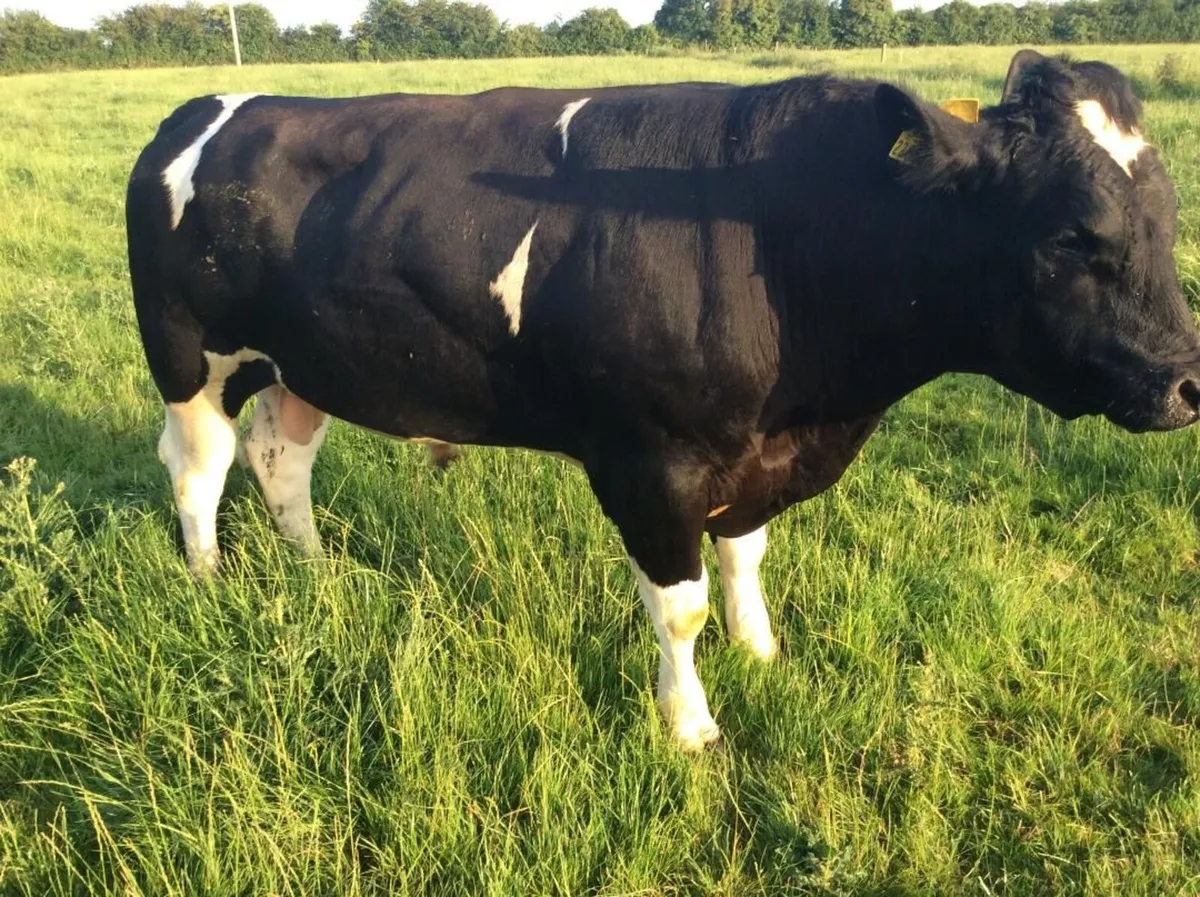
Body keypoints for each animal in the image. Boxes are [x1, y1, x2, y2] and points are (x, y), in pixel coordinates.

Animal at [126, 50, 1200, 750]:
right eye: (1072, 233)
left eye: (1165, 215)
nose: (1189, 379)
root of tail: (203, 110)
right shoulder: (652, 461)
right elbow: (679, 610)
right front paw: (691, 725)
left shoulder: (752, 450)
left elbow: (746, 557)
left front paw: (761, 652)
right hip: (191, 360)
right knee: (197, 470)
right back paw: (208, 578)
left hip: (302, 364)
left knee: (280, 460)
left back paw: (317, 573)